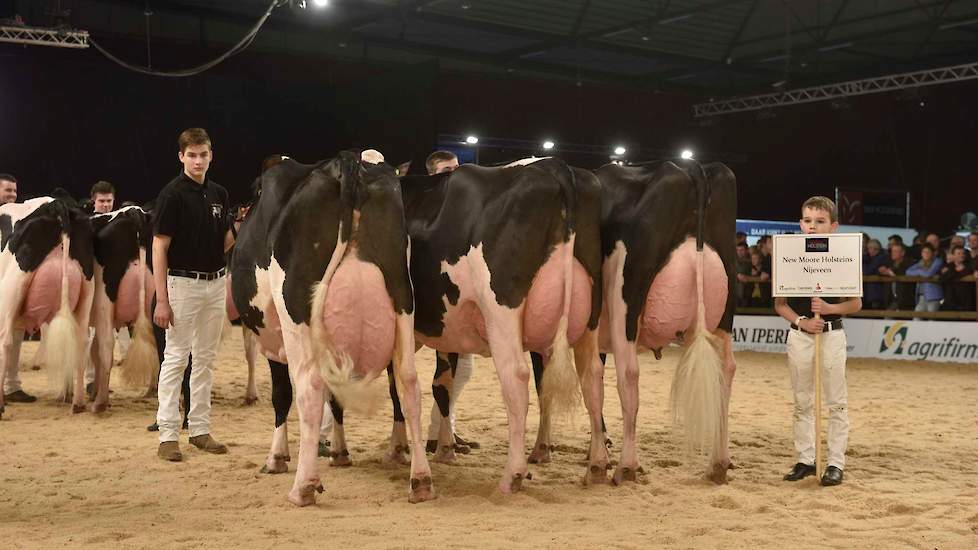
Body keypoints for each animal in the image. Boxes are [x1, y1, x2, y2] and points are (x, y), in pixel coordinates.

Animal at [0, 198, 97, 418]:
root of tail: (57, 205)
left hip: (10, 290)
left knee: (6, 341)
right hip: (86, 292)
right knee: (81, 341)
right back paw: (77, 402)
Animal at [231, 151, 428, 508]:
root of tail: (347, 162)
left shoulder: (275, 339)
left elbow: (282, 395)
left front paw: (277, 457)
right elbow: (336, 398)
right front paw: (339, 451)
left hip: (296, 310)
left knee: (309, 387)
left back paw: (303, 487)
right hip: (403, 300)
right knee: (408, 384)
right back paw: (421, 480)